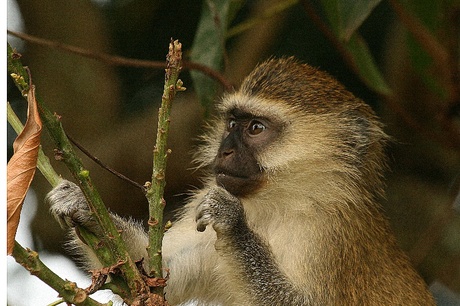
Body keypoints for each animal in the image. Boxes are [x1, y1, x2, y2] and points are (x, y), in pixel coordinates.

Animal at [46, 58, 434, 306]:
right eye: (232, 123)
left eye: (256, 128)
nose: (225, 150)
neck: (277, 204)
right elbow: (155, 275)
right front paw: (85, 206)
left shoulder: (332, 233)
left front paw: (234, 225)